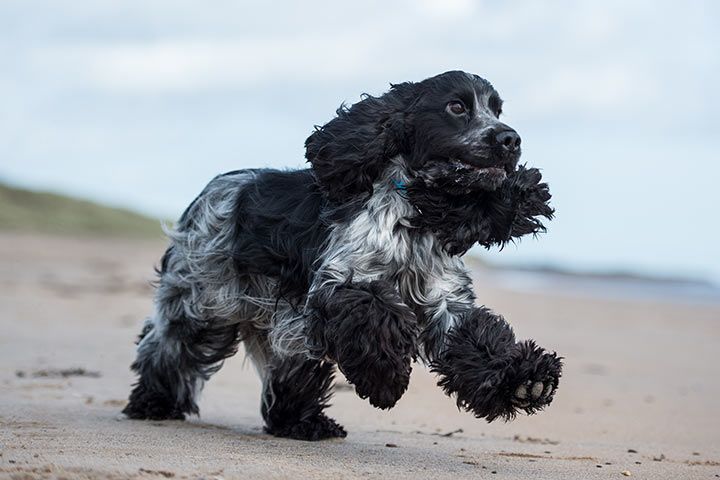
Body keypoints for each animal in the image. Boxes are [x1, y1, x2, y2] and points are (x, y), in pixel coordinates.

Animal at [122, 69, 564, 440]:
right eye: (457, 107)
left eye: (497, 109)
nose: (510, 139)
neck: (414, 214)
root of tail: (213, 187)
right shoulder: (338, 286)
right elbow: (376, 314)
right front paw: (386, 382)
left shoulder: (445, 303)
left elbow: (480, 341)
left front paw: (526, 381)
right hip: (203, 299)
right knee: (169, 347)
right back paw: (153, 402)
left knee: (291, 369)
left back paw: (303, 424)